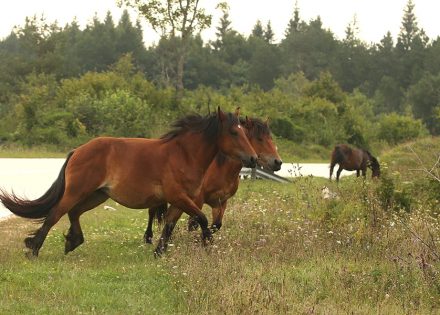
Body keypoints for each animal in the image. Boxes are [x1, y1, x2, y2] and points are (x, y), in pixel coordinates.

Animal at [0, 107, 258, 258]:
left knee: (73, 213)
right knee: (55, 214)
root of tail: (78, 151)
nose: (253, 158)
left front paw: (159, 252)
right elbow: (203, 219)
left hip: (97, 195)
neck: (184, 155)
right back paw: (33, 249)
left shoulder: (182, 201)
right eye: (234, 133)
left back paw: (72, 242)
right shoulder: (179, 197)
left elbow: (170, 225)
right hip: (78, 191)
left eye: (244, 132)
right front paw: (208, 244)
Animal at [149, 117, 282, 256]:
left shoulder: (220, 202)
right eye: (259, 139)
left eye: (270, 138)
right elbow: (194, 223)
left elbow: (216, 225)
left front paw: (203, 242)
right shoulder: (198, 200)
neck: (221, 168)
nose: (278, 162)